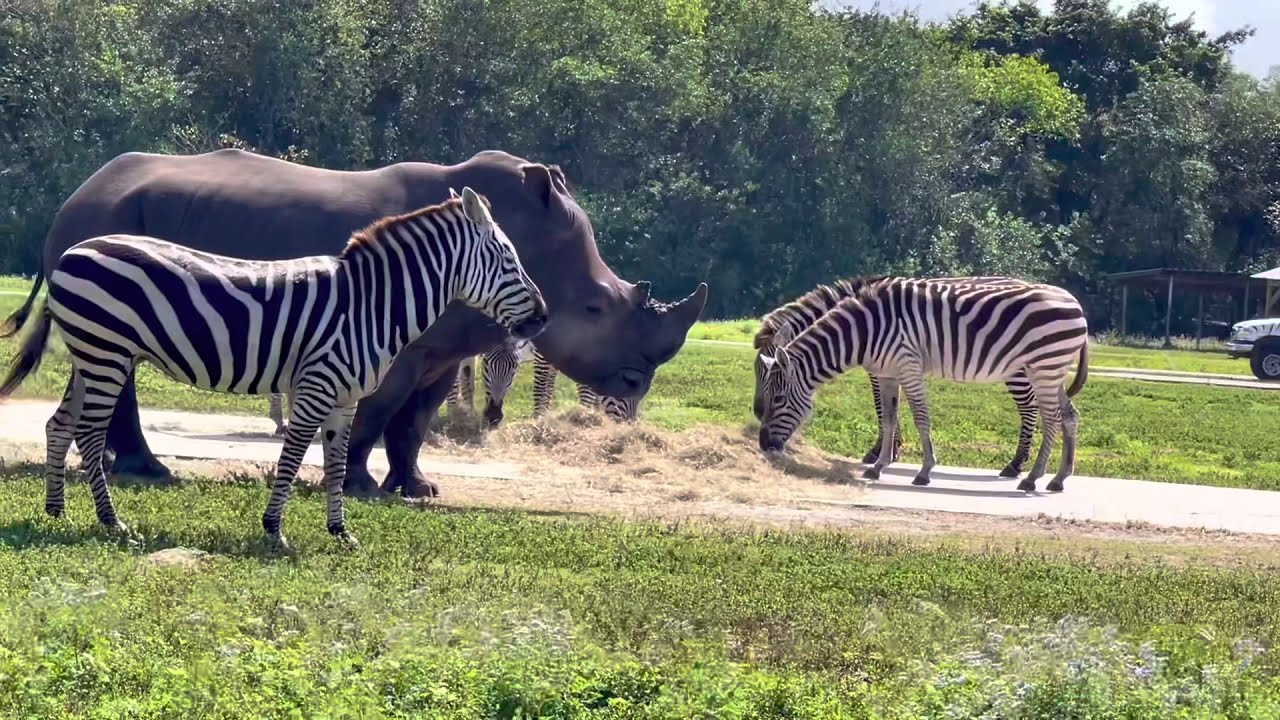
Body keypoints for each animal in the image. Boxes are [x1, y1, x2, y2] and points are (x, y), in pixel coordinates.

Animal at [0, 188, 545, 545]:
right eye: (508, 259)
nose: (541, 317)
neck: (370, 305)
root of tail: (71, 251)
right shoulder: (316, 387)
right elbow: (292, 459)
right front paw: (275, 530)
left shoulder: (345, 399)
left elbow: (335, 464)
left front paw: (340, 532)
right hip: (108, 354)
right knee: (90, 433)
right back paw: (112, 523)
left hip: (91, 354)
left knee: (60, 424)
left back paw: (56, 510)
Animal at [757, 278, 1090, 489]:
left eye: (779, 400)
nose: (763, 445)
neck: (865, 330)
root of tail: (1074, 301)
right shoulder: (888, 373)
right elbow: (889, 418)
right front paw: (878, 466)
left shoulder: (908, 365)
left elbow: (920, 417)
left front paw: (924, 471)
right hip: (1051, 371)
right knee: (1069, 416)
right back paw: (1059, 479)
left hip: (1042, 368)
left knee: (1049, 419)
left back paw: (1031, 477)